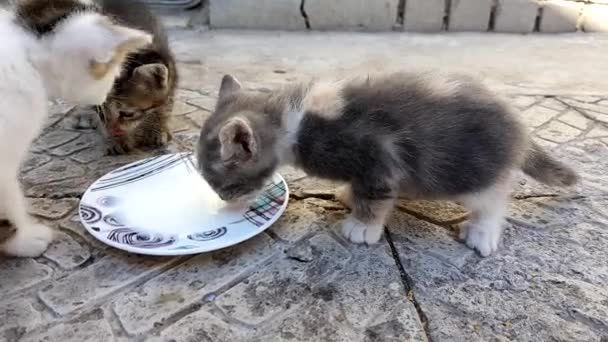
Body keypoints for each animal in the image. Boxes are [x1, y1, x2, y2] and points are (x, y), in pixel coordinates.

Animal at [197, 73, 576, 258]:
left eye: (221, 183)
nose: (223, 201)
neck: (296, 122)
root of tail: (520, 128)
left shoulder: (378, 156)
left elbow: (375, 194)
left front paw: (362, 227)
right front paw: (348, 195)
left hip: (469, 171)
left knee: (493, 197)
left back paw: (483, 232)